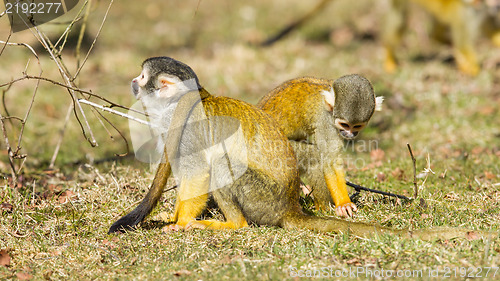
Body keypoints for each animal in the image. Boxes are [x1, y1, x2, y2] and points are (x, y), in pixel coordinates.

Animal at [258, 75, 382, 217]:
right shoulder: (325, 119)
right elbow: (330, 160)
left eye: (357, 126)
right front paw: (343, 204)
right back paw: (324, 208)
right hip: (273, 151)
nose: (349, 135)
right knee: (315, 157)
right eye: (345, 125)